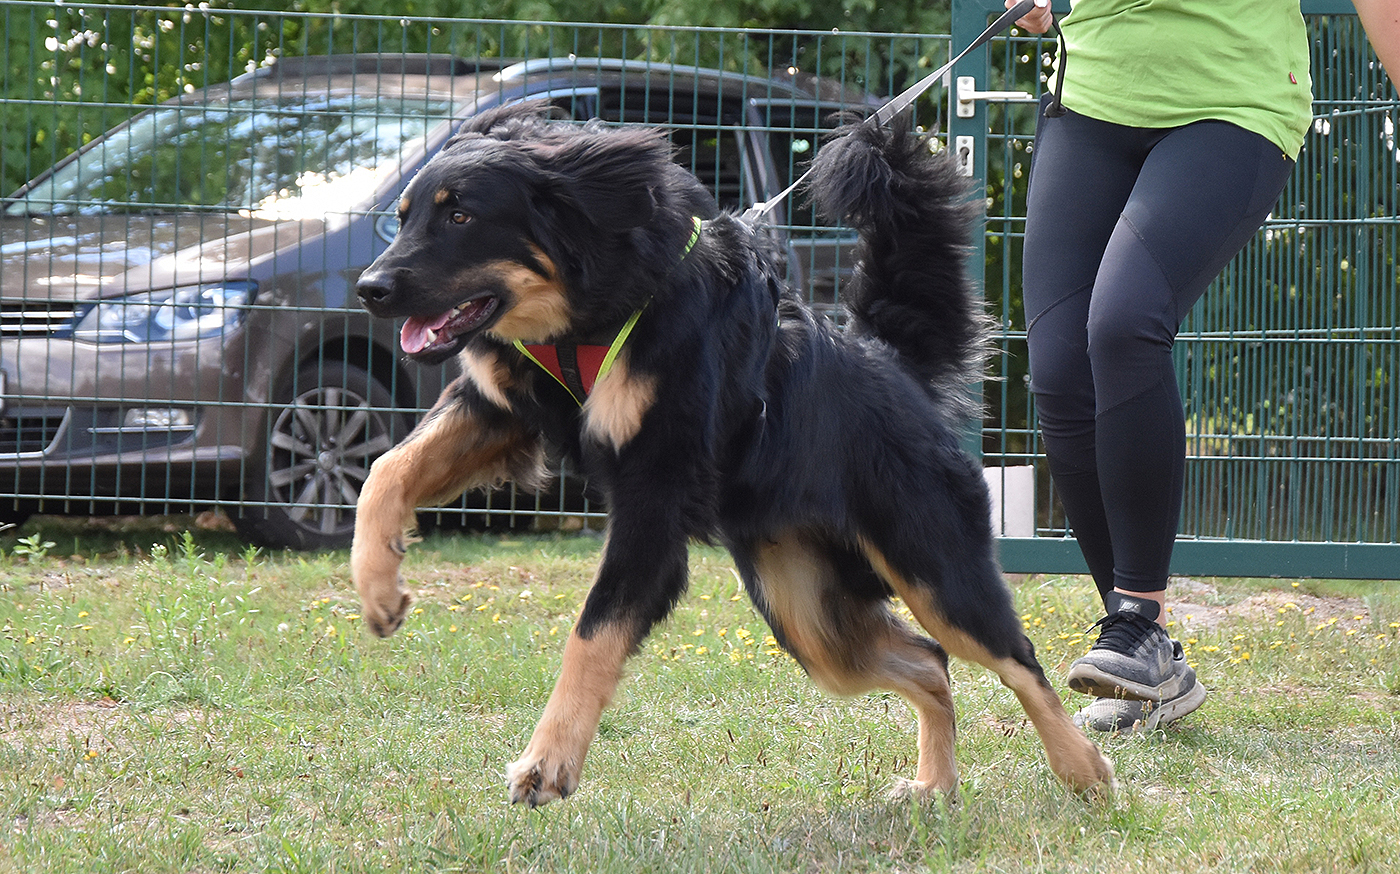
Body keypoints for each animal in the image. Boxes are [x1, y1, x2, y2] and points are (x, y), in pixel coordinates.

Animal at [351, 101, 1114, 806]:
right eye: (405, 215)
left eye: (460, 216)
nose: (368, 289)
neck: (593, 314)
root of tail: (896, 368)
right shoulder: (504, 410)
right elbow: (385, 472)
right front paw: (379, 586)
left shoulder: (653, 497)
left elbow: (593, 632)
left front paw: (549, 762)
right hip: (808, 613)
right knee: (928, 662)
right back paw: (935, 785)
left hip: (931, 567)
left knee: (1016, 661)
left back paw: (1085, 771)